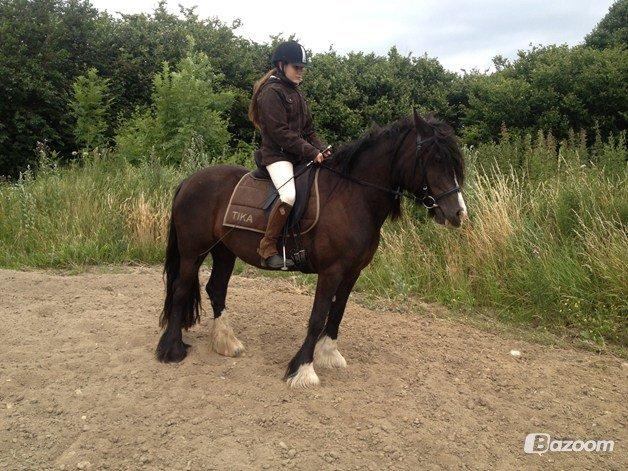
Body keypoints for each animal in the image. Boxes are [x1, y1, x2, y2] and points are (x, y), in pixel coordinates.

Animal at [155, 109, 468, 388]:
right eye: (434, 159)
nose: (457, 214)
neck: (352, 197)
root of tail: (189, 181)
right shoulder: (331, 272)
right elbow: (317, 317)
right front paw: (303, 368)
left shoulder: (352, 272)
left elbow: (338, 312)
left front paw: (329, 354)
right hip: (193, 252)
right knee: (181, 288)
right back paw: (171, 350)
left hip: (224, 252)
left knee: (216, 289)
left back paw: (226, 342)